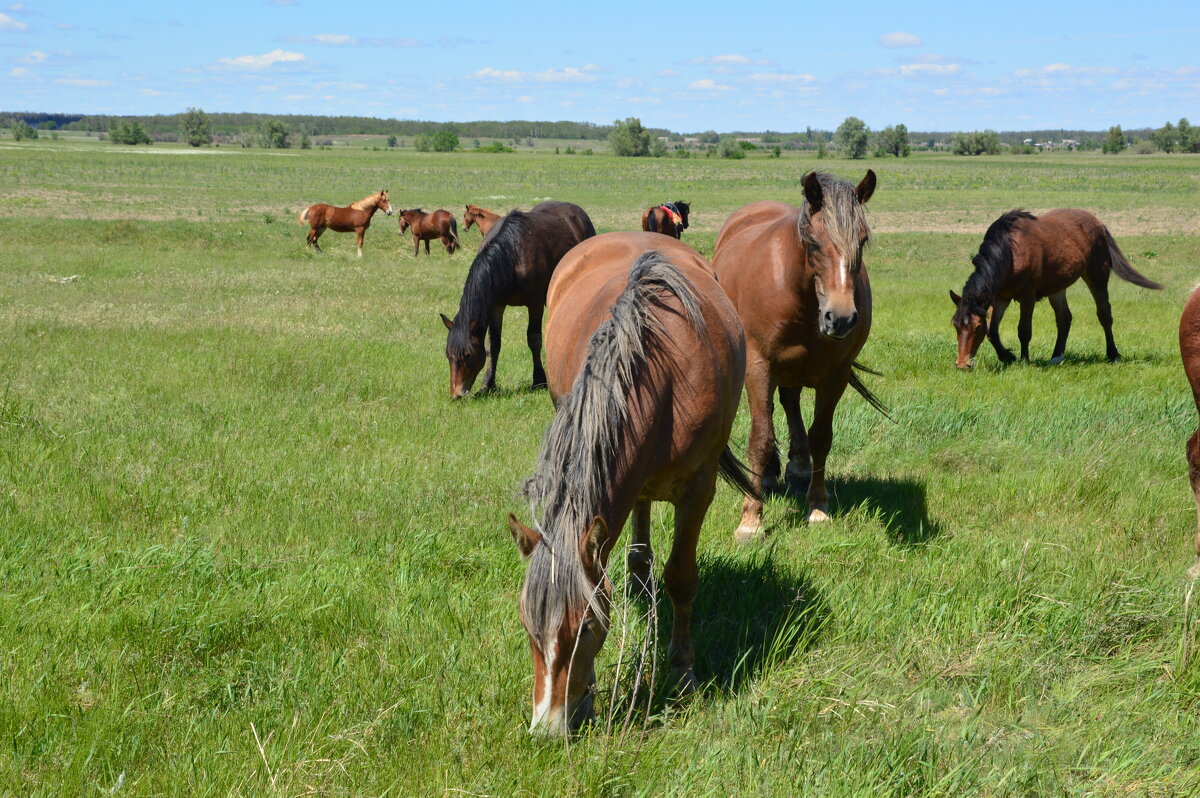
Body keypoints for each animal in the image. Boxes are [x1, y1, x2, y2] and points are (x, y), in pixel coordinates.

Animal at [441, 199, 595, 398]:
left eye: (468, 354)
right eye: (448, 354)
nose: (457, 394)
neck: (511, 255)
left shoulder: (535, 303)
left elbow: (534, 340)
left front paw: (539, 380)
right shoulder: (497, 305)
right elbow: (494, 344)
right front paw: (488, 384)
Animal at [508, 231, 758, 734]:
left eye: (585, 626)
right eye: (527, 625)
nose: (547, 728)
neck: (666, 376)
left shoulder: (698, 491)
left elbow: (681, 578)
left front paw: (682, 671)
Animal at [710, 170, 883, 537]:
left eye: (861, 241)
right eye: (814, 243)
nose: (840, 318)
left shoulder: (835, 375)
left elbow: (822, 438)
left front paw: (816, 506)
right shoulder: (759, 367)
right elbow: (760, 439)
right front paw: (751, 518)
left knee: (790, 404)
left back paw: (798, 465)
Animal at [950, 205, 1156, 367]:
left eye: (977, 327)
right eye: (956, 326)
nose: (962, 364)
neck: (1010, 253)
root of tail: (1098, 223)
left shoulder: (1027, 297)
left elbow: (1024, 330)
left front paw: (1024, 360)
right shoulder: (1000, 297)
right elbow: (993, 332)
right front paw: (1007, 357)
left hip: (1097, 276)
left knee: (1104, 314)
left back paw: (1113, 354)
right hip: (1057, 288)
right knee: (1064, 318)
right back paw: (1057, 357)